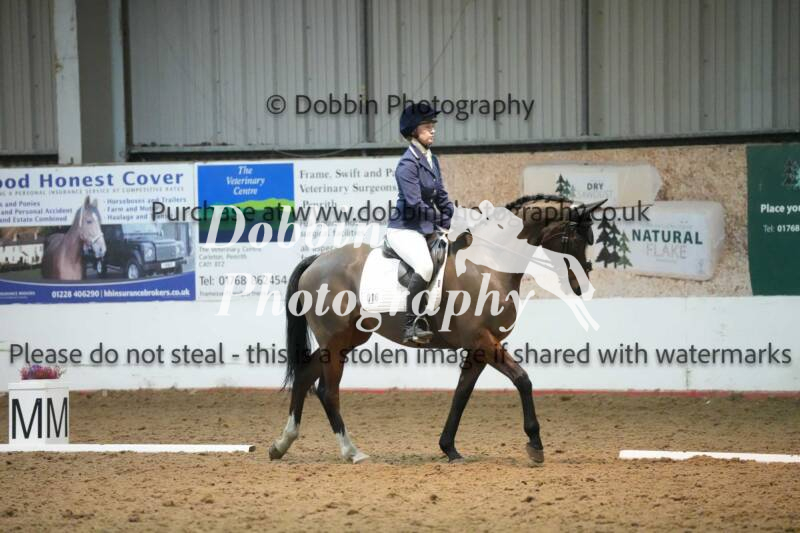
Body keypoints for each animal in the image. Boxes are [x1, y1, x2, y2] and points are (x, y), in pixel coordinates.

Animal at [268, 194, 605, 465]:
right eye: (577, 238)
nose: (581, 285)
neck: (489, 264)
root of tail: (317, 260)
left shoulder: (479, 347)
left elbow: (462, 394)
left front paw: (449, 449)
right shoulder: (484, 340)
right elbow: (522, 380)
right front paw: (535, 444)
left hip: (348, 338)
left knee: (304, 377)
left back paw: (282, 444)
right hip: (335, 342)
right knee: (328, 391)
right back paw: (351, 451)